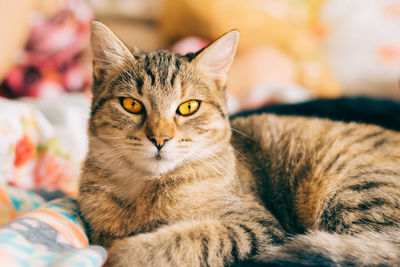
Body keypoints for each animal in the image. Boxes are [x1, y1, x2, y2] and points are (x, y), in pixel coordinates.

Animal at [78, 21, 400, 267]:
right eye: (132, 105)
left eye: (188, 107)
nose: (160, 139)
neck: (146, 190)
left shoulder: (258, 227)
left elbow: (185, 239)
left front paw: (122, 252)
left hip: (350, 193)